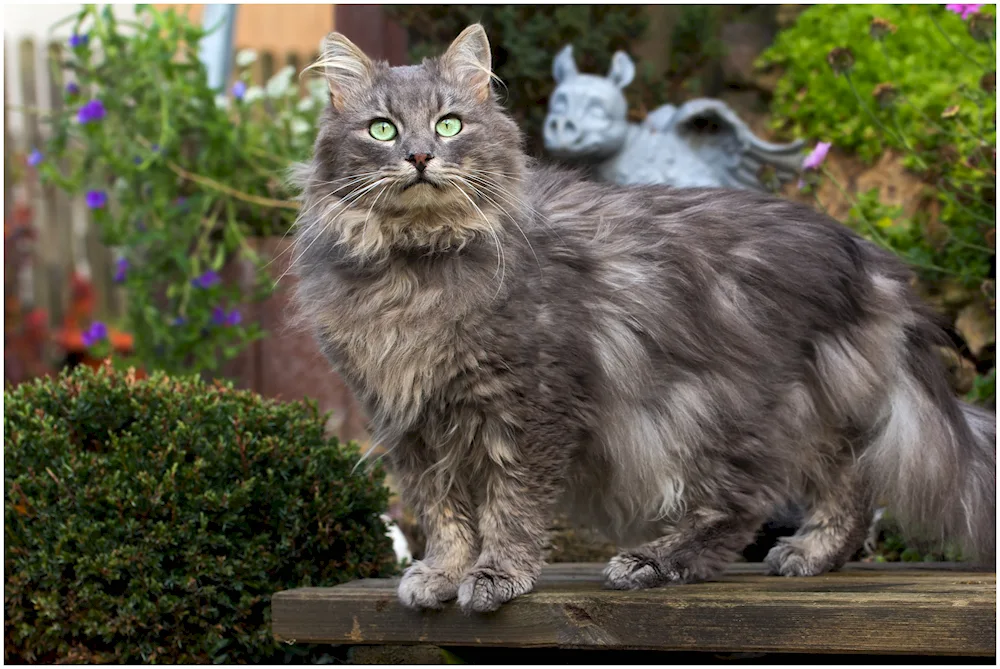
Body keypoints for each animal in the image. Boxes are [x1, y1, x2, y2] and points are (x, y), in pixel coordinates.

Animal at [290, 24, 992, 612]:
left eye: (450, 124)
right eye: (383, 130)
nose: (418, 157)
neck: (419, 268)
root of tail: (865, 254)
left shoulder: (528, 404)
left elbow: (508, 506)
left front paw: (497, 576)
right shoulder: (411, 421)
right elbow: (444, 514)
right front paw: (442, 574)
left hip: (722, 409)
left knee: (745, 505)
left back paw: (656, 562)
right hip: (805, 405)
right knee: (848, 480)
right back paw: (816, 555)